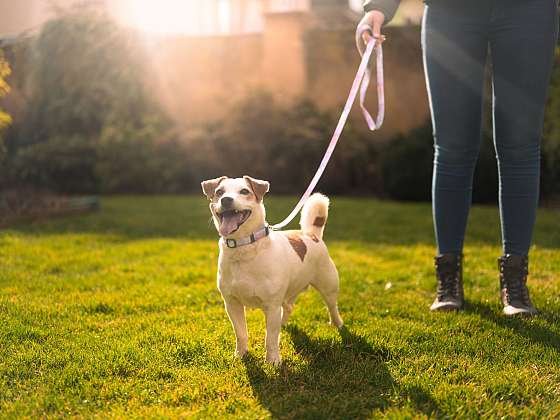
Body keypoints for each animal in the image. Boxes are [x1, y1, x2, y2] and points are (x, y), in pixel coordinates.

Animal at [199, 176, 344, 366]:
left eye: (244, 191)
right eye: (219, 192)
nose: (226, 200)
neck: (244, 246)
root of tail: (311, 234)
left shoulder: (271, 305)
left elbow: (271, 338)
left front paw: (273, 361)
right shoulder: (232, 304)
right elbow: (241, 333)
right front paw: (240, 355)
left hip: (328, 284)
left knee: (331, 305)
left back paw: (338, 324)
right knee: (288, 307)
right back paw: (283, 323)